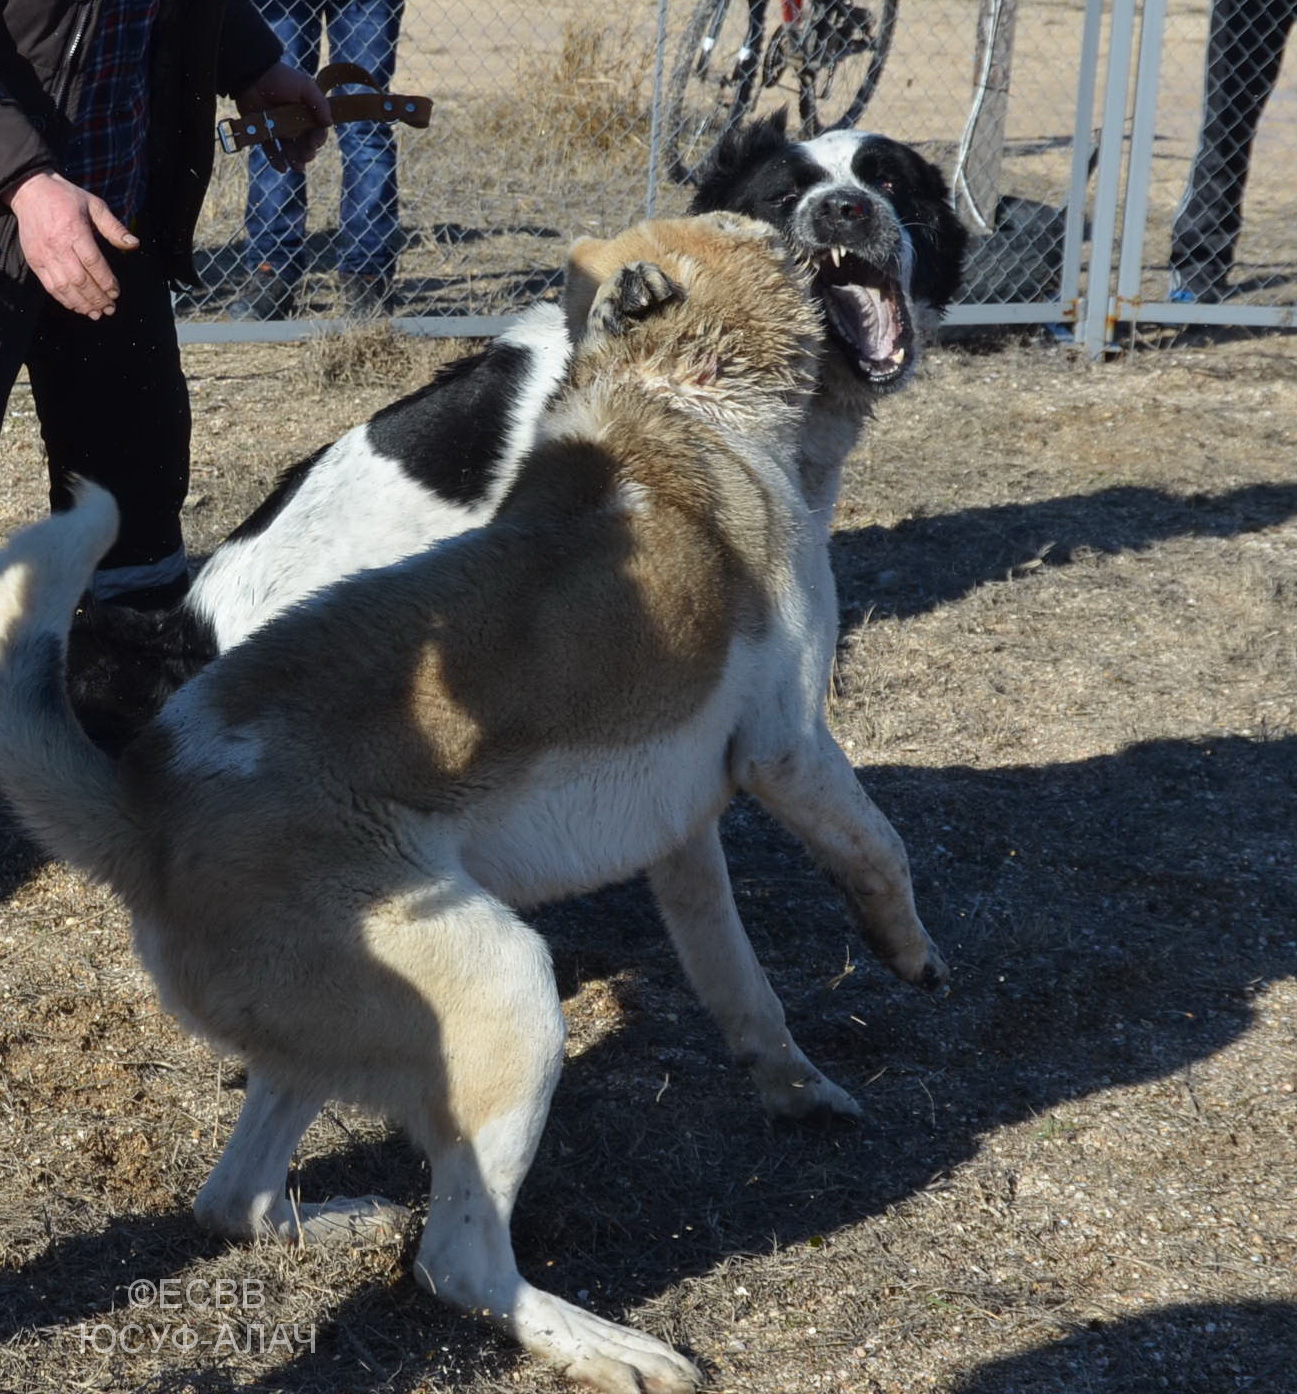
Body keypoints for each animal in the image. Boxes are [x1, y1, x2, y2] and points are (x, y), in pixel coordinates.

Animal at [0, 213, 949, 1393]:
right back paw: (603, 1344)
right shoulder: (787, 748)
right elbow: (879, 844)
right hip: (508, 991)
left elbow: (742, 986)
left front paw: (795, 1088)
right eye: (769, 226)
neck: (673, 390)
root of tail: (148, 804)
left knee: (233, 1199)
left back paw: (337, 1217)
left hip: (326, 1039)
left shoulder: (684, 833)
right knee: (457, 1259)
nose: (842, 220)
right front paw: (912, 956)